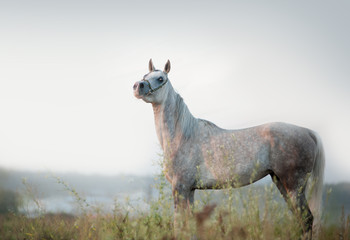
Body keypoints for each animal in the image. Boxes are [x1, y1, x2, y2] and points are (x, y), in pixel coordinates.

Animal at [133, 59, 324, 238]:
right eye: (145, 76)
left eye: (160, 78)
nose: (138, 86)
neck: (183, 135)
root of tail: (308, 132)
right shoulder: (189, 190)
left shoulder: (180, 187)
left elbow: (179, 224)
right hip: (281, 183)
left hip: (294, 185)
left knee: (307, 219)